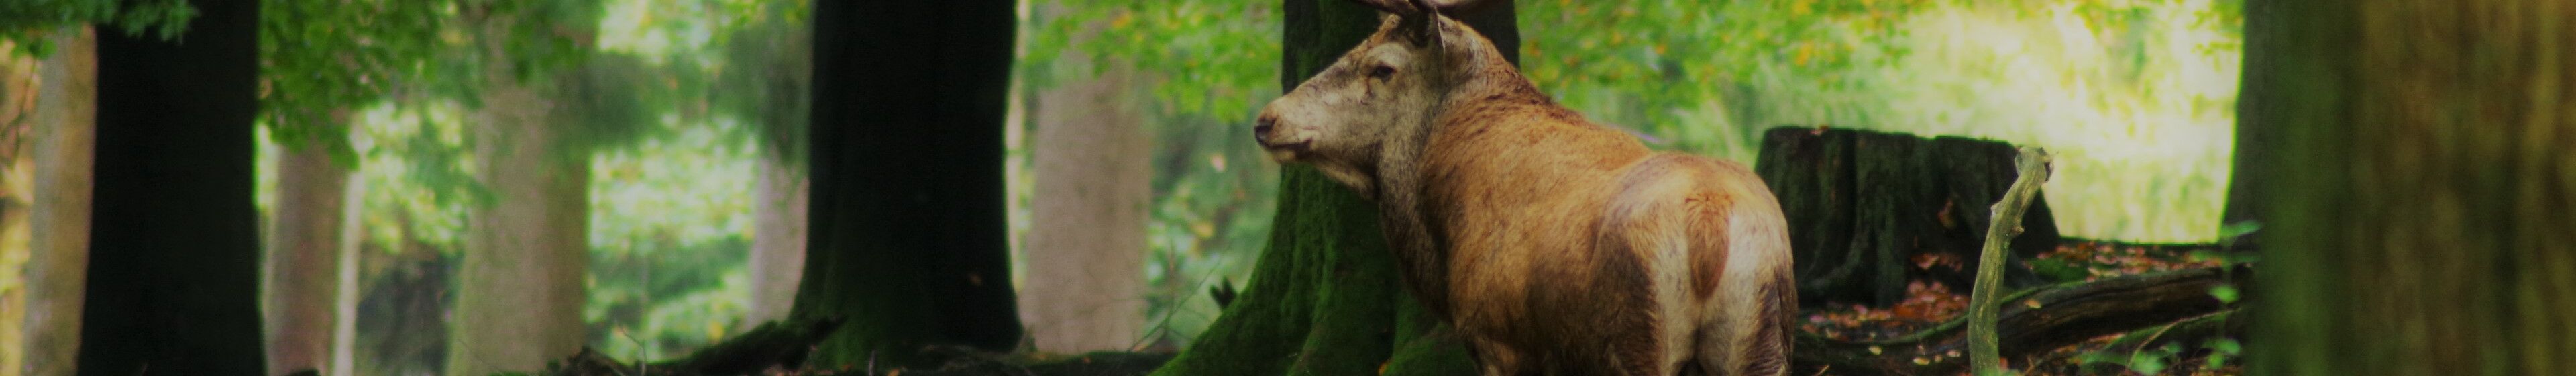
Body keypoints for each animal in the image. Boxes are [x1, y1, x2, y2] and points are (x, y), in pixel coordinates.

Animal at [1246, 1, 1792, 376]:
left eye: (1382, 67)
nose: (1268, 119)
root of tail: (1709, 220)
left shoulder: (1496, 338)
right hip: (1762, 345)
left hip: (1638, 340)